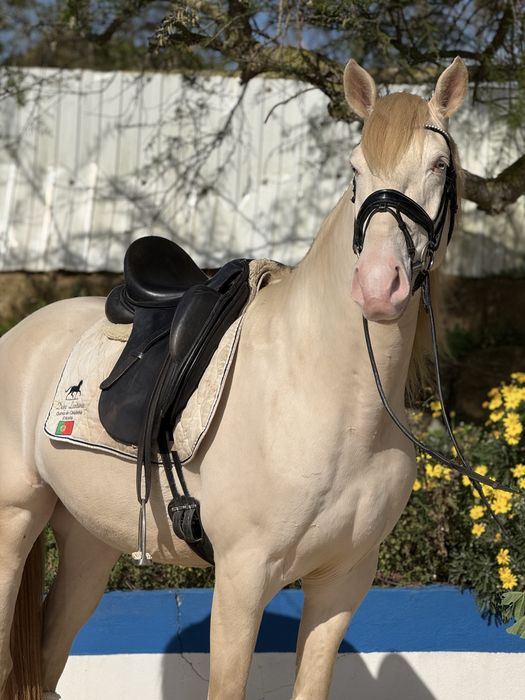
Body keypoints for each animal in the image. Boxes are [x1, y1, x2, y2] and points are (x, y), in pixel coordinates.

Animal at [0, 56, 468, 700]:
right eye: (354, 170)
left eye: (440, 165)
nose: (378, 285)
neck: (329, 396)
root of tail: (19, 335)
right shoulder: (244, 578)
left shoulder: (342, 583)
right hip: (13, 524)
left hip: (89, 542)